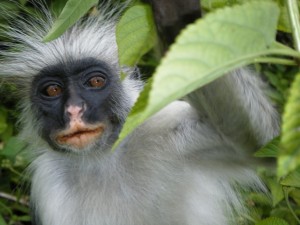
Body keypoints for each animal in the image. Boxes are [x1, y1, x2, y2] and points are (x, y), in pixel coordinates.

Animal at [0, 1, 278, 225]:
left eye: (96, 82)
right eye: (53, 89)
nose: (74, 110)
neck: (102, 159)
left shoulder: (159, 126)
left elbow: (256, 144)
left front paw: (176, 15)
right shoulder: (49, 185)